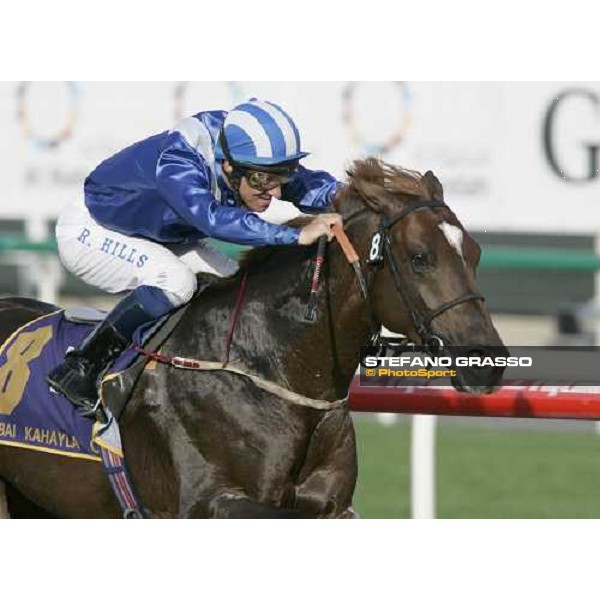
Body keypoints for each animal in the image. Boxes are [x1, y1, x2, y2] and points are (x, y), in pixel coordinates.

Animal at [0, 158, 506, 516]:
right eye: (420, 257)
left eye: (476, 252)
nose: (487, 361)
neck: (270, 369)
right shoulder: (209, 505)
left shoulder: (332, 504)